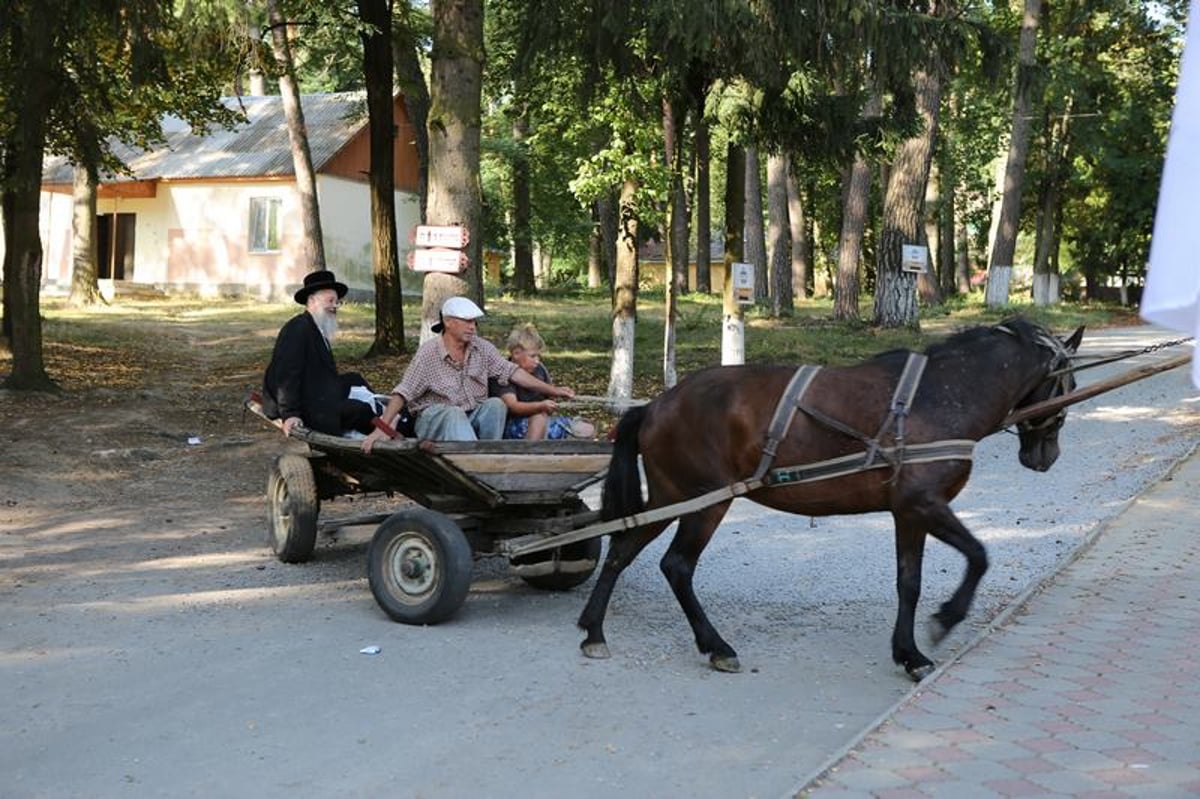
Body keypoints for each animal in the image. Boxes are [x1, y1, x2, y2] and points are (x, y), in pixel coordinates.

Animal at [585, 316, 1084, 676]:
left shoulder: (908, 512)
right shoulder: (925, 504)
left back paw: (593, 631)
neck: (940, 395)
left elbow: (909, 582)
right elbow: (979, 555)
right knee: (677, 566)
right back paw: (716, 646)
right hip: (705, 502)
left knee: (622, 547)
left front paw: (908, 653)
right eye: (1070, 384)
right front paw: (945, 620)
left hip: (670, 497)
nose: (1047, 455)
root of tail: (656, 404)